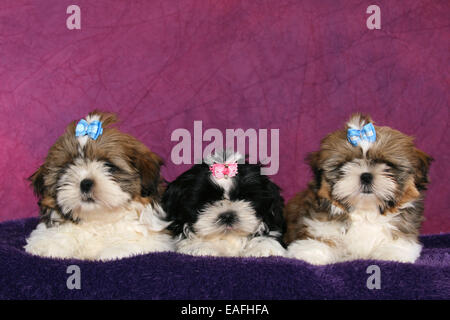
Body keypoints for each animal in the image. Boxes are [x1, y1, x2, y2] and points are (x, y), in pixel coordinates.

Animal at [284, 114, 432, 264]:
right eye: (344, 164)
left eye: (387, 164)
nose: (366, 176)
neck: (365, 212)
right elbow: (321, 239)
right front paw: (310, 251)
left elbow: (399, 244)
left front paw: (391, 253)